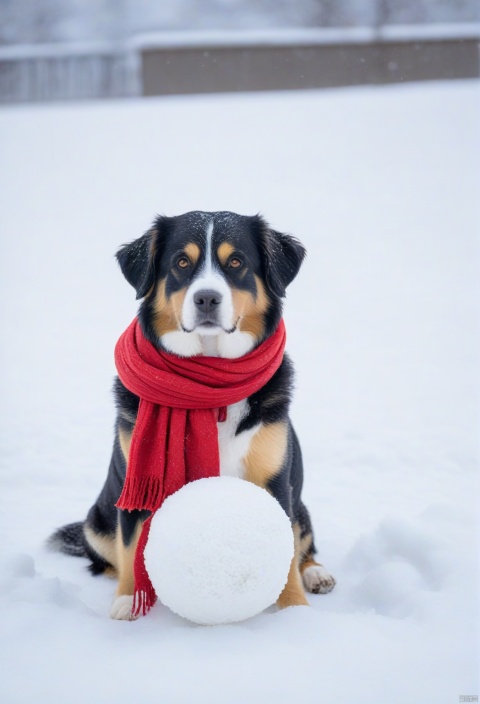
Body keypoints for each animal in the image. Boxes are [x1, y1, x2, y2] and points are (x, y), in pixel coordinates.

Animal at [47, 210, 334, 620]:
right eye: (182, 262)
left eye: (236, 262)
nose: (207, 298)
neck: (211, 386)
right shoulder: (135, 485)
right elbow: (131, 544)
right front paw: (128, 601)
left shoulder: (275, 480)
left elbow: (288, 553)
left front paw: (294, 610)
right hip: (95, 522)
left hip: (300, 503)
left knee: (304, 545)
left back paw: (317, 573)